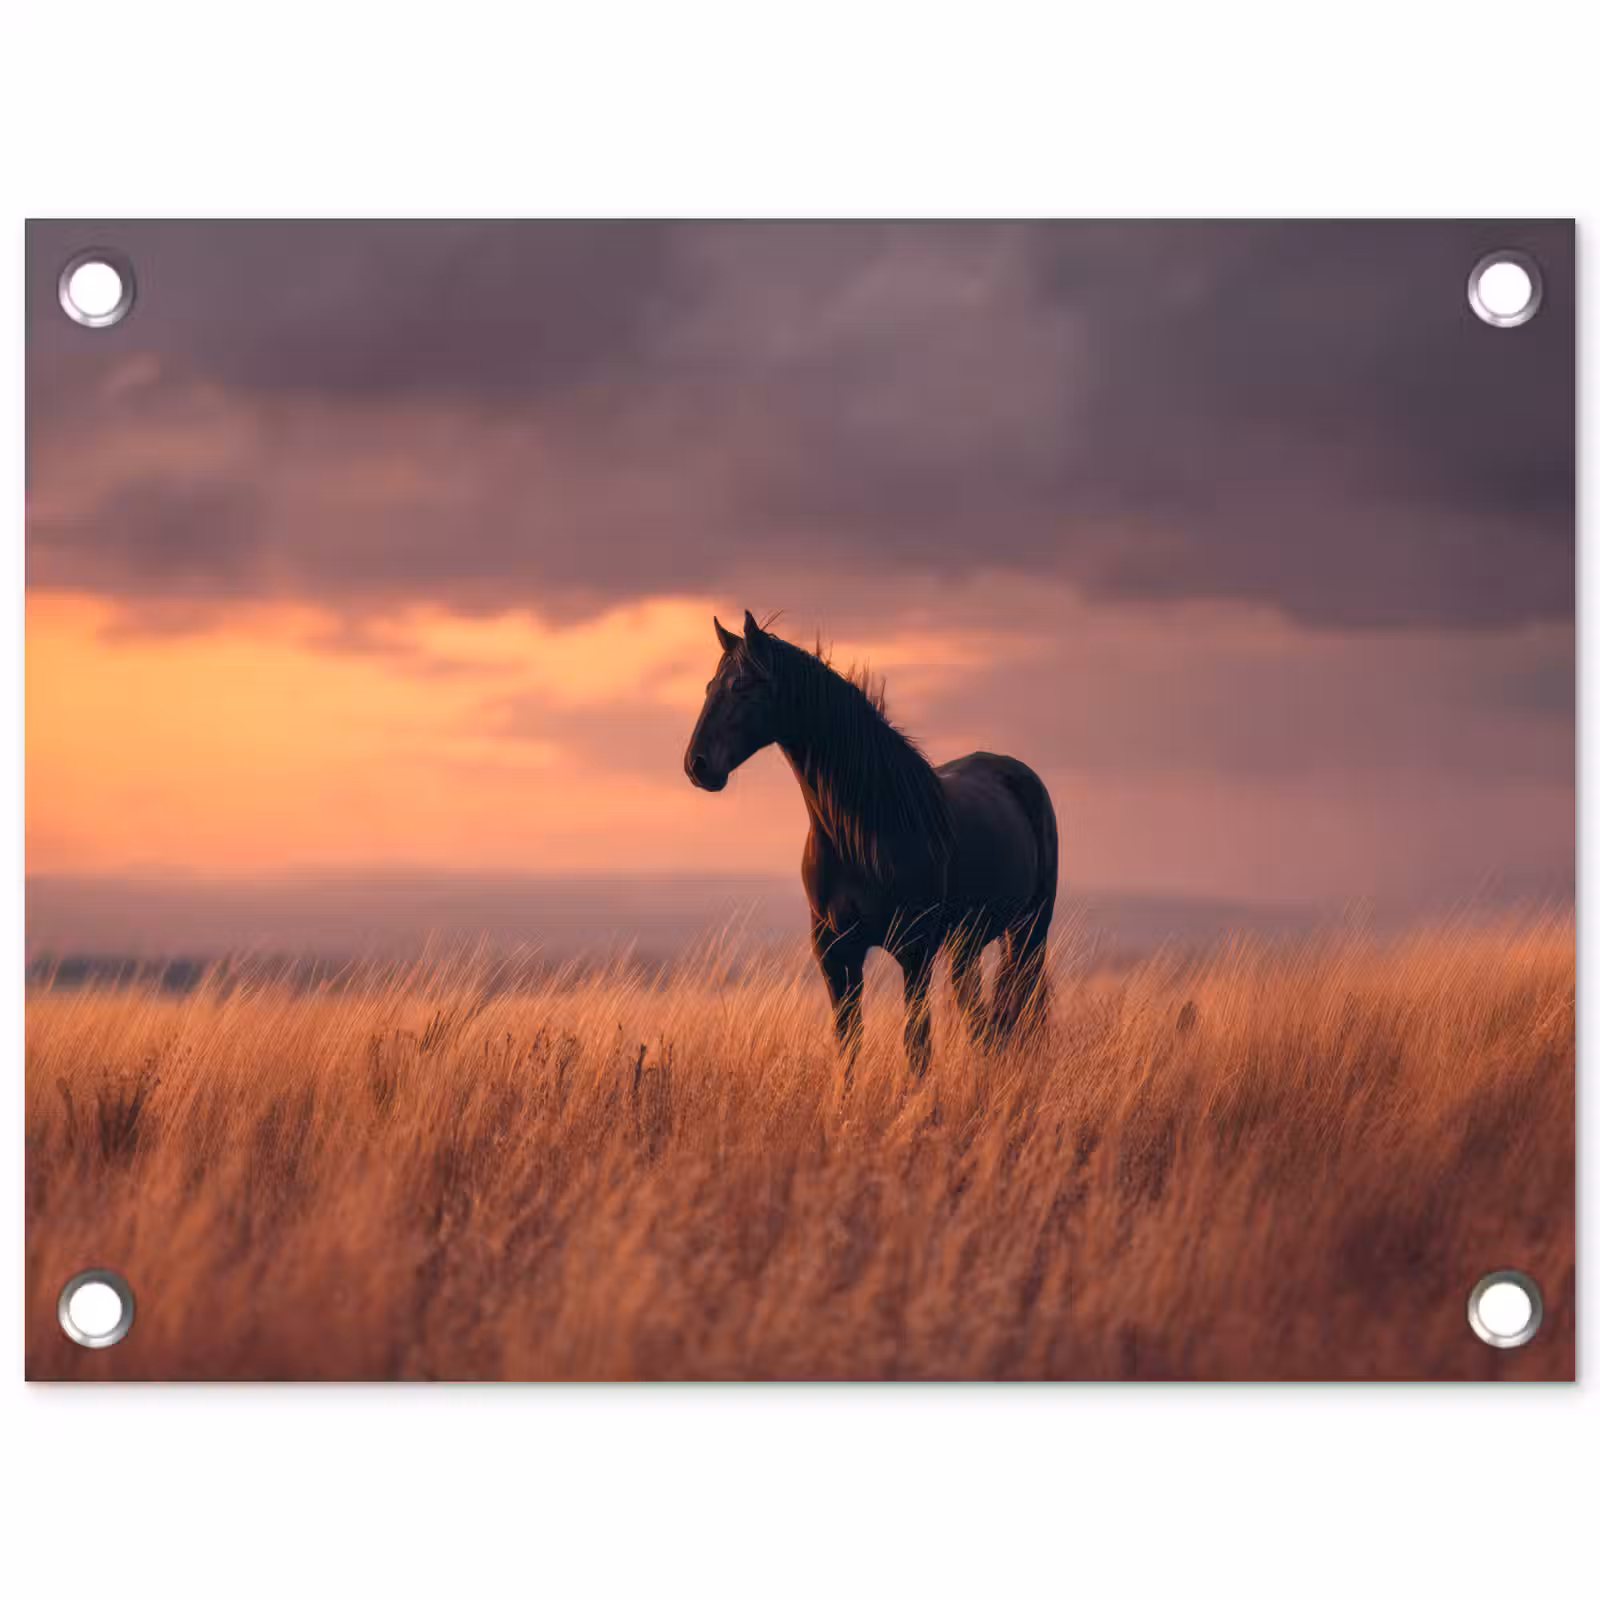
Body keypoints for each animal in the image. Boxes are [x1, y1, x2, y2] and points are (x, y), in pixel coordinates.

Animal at [683, 610, 1058, 1081]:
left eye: (741, 685)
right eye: (708, 687)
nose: (696, 765)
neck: (866, 831)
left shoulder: (915, 951)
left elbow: (917, 1045)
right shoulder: (835, 952)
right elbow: (849, 1044)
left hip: (1029, 932)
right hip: (967, 944)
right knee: (982, 1020)